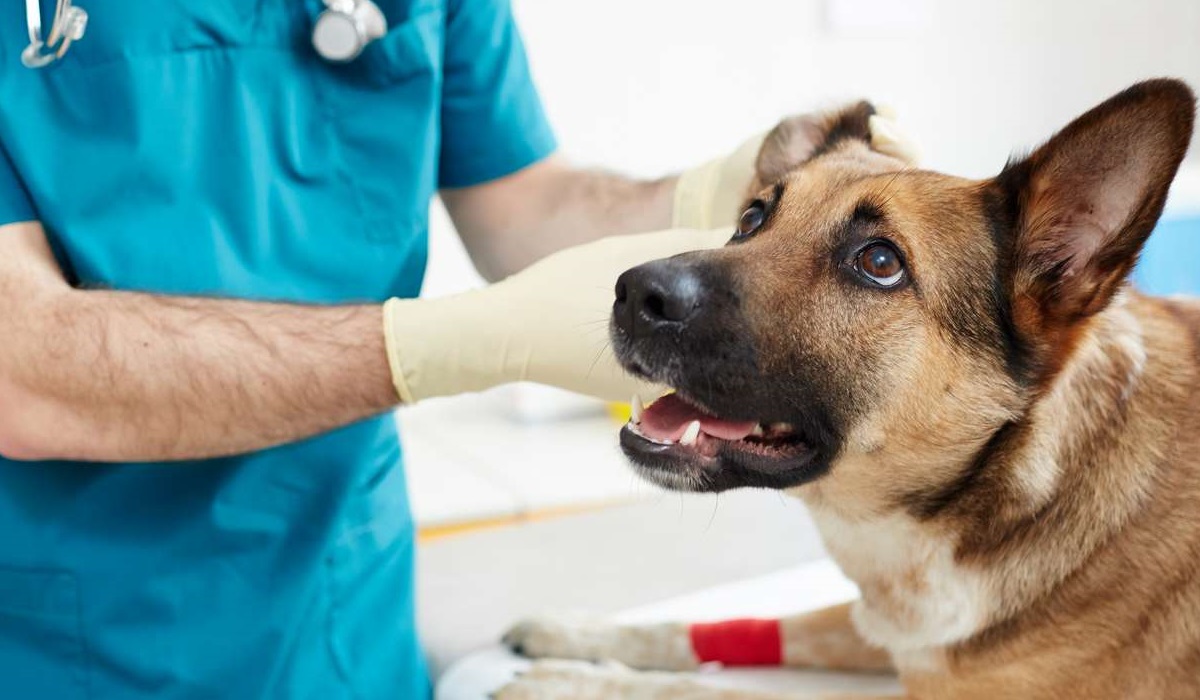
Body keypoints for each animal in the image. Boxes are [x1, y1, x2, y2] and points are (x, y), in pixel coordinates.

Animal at [496, 78, 1200, 700]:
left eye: (879, 262)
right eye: (751, 218)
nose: (633, 294)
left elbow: (711, 691)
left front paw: (571, 683)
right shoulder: (882, 627)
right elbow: (723, 627)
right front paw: (576, 633)